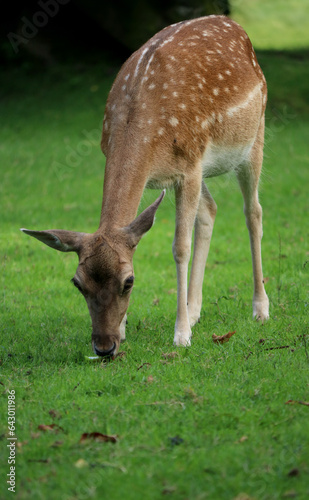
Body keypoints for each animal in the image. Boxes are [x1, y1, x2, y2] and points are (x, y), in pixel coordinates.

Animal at [21, 14, 270, 356]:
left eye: (129, 281)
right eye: (77, 283)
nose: (104, 346)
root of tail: (235, 26)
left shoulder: (189, 167)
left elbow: (180, 247)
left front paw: (181, 336)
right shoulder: (177, 170)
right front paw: (130, 329)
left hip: (254, 135)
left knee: (253, 211)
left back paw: (260, 308)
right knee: (210, 209)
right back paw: (194, 310)